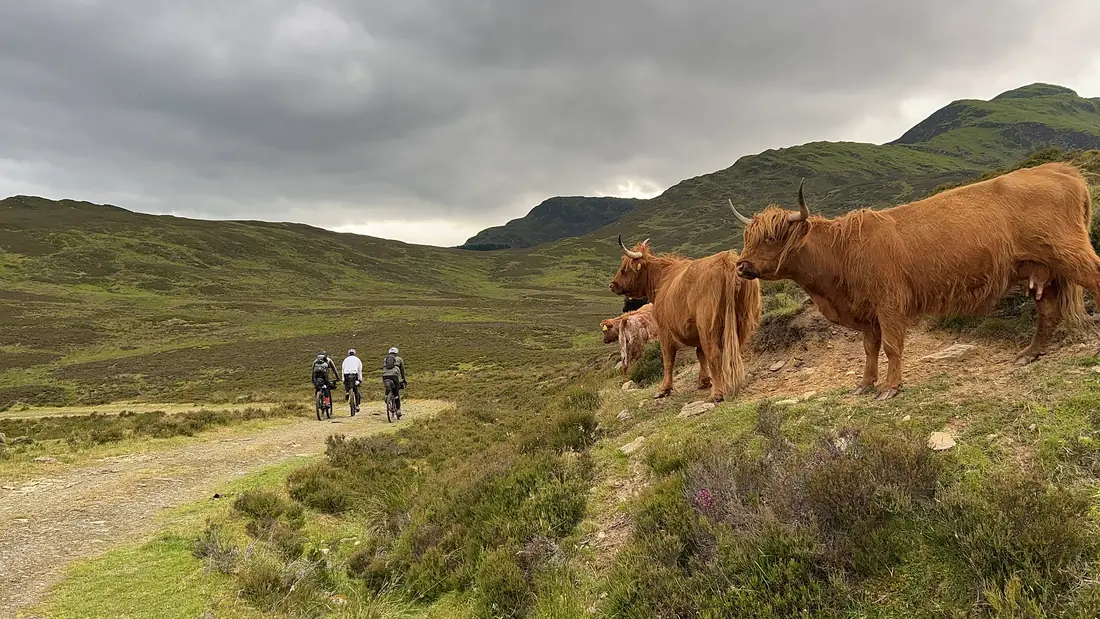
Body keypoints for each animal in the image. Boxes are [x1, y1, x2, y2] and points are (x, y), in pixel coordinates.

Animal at [609, 237, 762, 402]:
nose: (612, 284)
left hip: (708, 325)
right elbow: (700, 354)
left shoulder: (664, 329)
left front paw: (664, 389)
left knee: (714, 354)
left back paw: (717, 393)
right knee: (732, 351)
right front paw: (703, 381)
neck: (662, 280)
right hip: (742, 321)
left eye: (625, 268)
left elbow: (668, 358)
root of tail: (726, 260)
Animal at [728, 161, 1099, 401]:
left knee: (1094, 281)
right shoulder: (866, 312)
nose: (741, 266)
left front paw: (890, 388)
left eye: (771, 237)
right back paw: (1029, 354)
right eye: (747, 237)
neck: (840, 256)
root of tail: (1061, 170)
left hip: (1071, 253)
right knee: (1048, 312)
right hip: (1040, 269)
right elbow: (870, 349)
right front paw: (865, 384)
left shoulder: (889, 302)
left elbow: (892, 346)